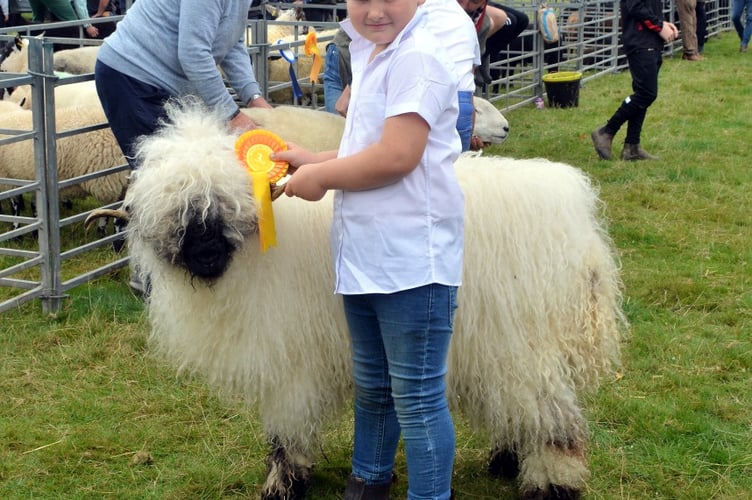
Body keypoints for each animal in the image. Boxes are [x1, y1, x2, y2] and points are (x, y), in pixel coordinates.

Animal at [98, 99, 628, 498]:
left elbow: (286, 430)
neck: (247, 259)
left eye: (223, 206)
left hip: (519, 342)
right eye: (176, 216)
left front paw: (282, 485)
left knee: (554, 420)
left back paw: (552, 485)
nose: (206, 254)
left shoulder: (290, 359)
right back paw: (506, 461)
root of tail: (578, 223)